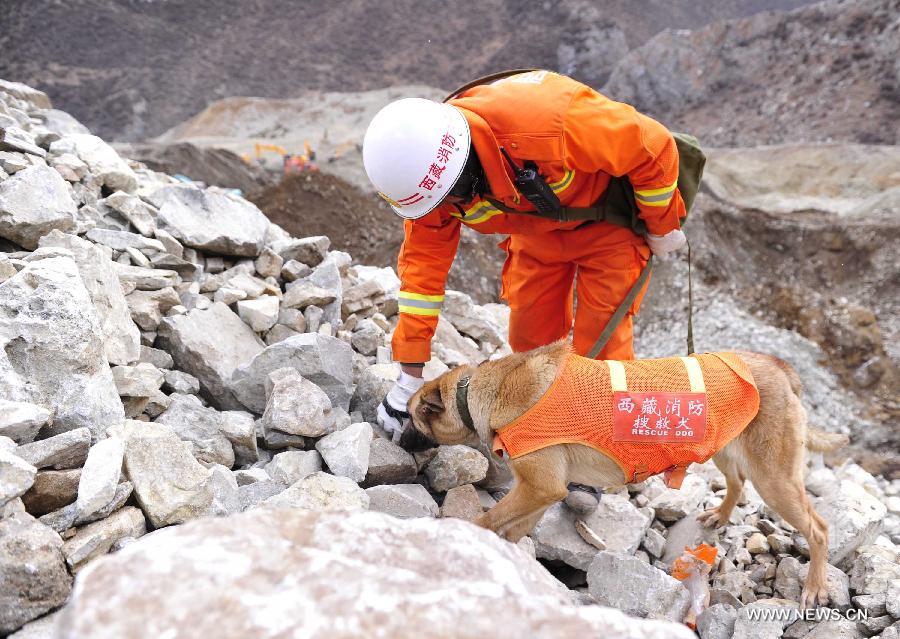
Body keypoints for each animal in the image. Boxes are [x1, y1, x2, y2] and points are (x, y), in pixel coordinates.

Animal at [408, 342, 852, 612]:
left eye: (412, 415)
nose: (399, 435)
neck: (487, 389)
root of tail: (781, 368)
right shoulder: (538, 491)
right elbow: (513, 527)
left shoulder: (539, 487)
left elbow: (489, 519)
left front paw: (463, 536)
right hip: (725, 448)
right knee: (738, 483)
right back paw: (721, 515)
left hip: (775, 479)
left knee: (818, 529)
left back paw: (815, 585)